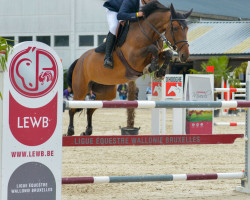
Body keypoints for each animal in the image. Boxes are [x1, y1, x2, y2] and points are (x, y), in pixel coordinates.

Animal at [65, 0, 192, 135]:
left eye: (187, 28)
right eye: (175, 28)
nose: (184, 55)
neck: (148, 33)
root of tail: (80, 60)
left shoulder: (158, 53)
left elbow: (167, 53)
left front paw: (160, 72)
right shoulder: (134, 58)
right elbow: (152, 48)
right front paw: (152, 67)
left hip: (106, 92)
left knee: (91, 108)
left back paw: (87, 131)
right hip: (80, 90)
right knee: (72, 108)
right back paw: (70, 130)